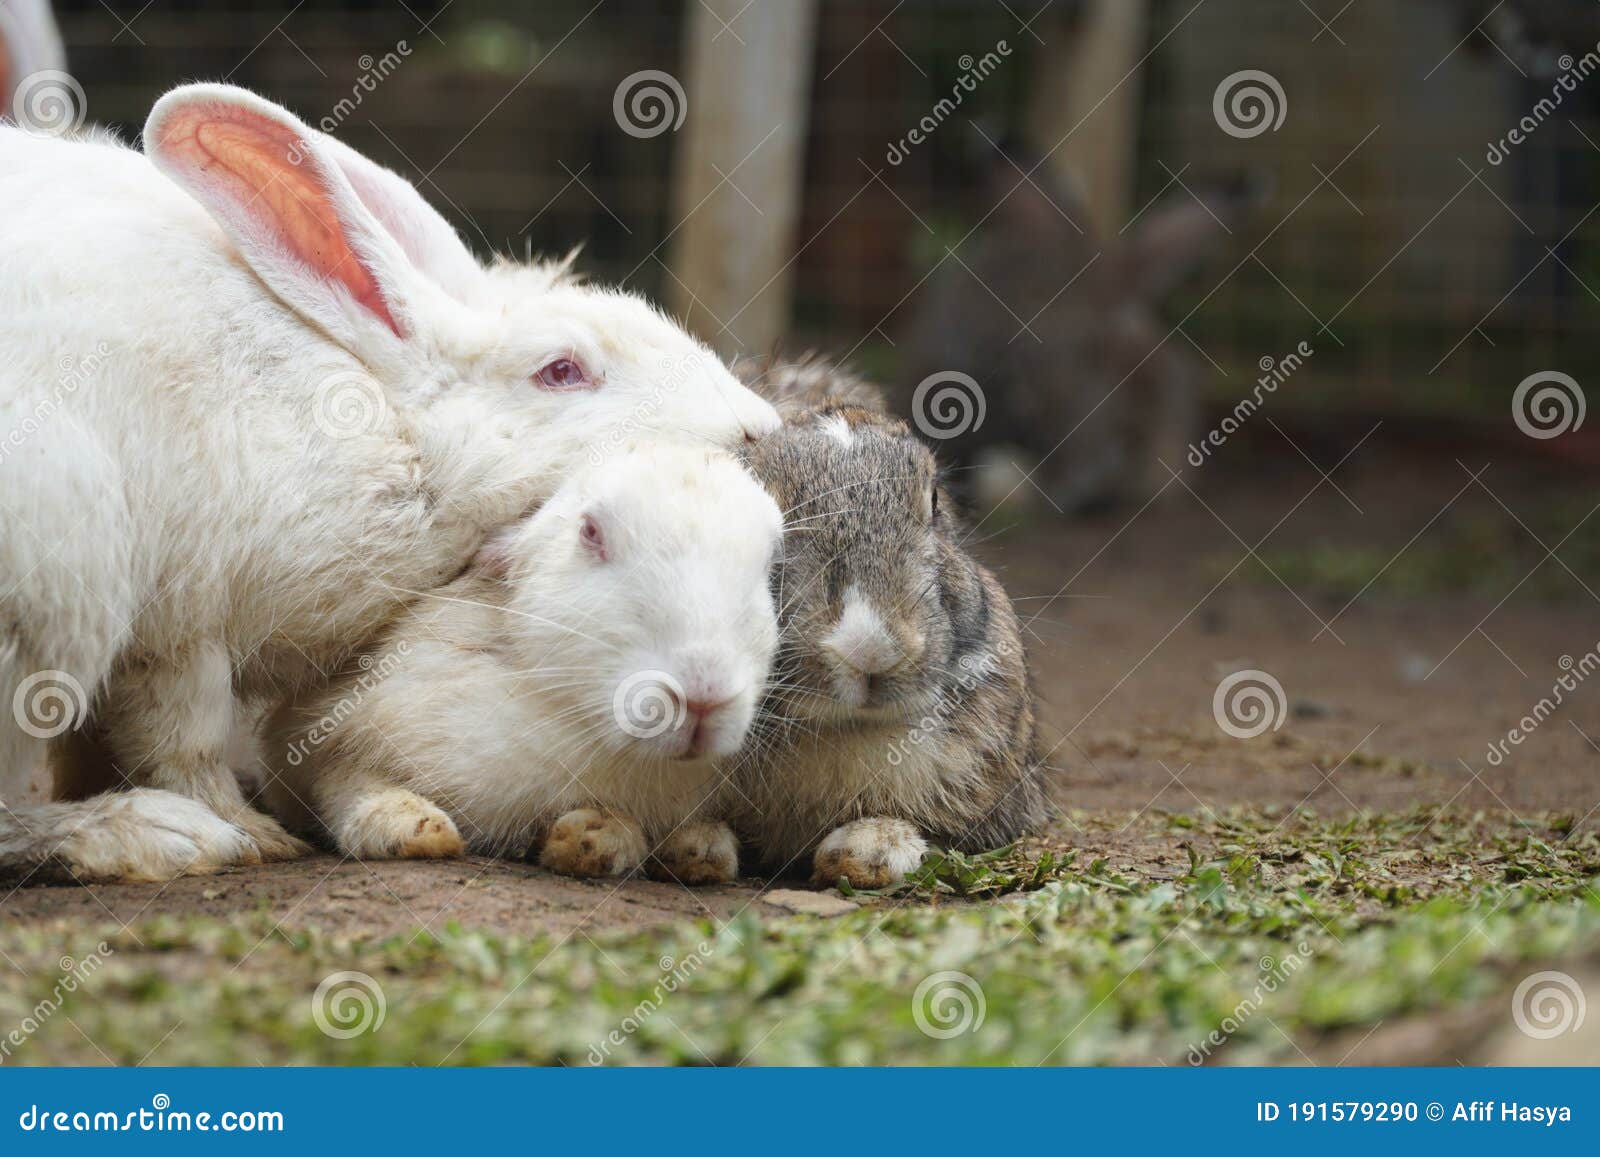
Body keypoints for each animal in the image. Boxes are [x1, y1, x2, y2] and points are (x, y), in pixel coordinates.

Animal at [258, 442, 782, 885]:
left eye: (770, 563)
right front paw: (406, 827)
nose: (704, 698)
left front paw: (676, 847)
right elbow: (345, 781)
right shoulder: (321, 730)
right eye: (590, 532)